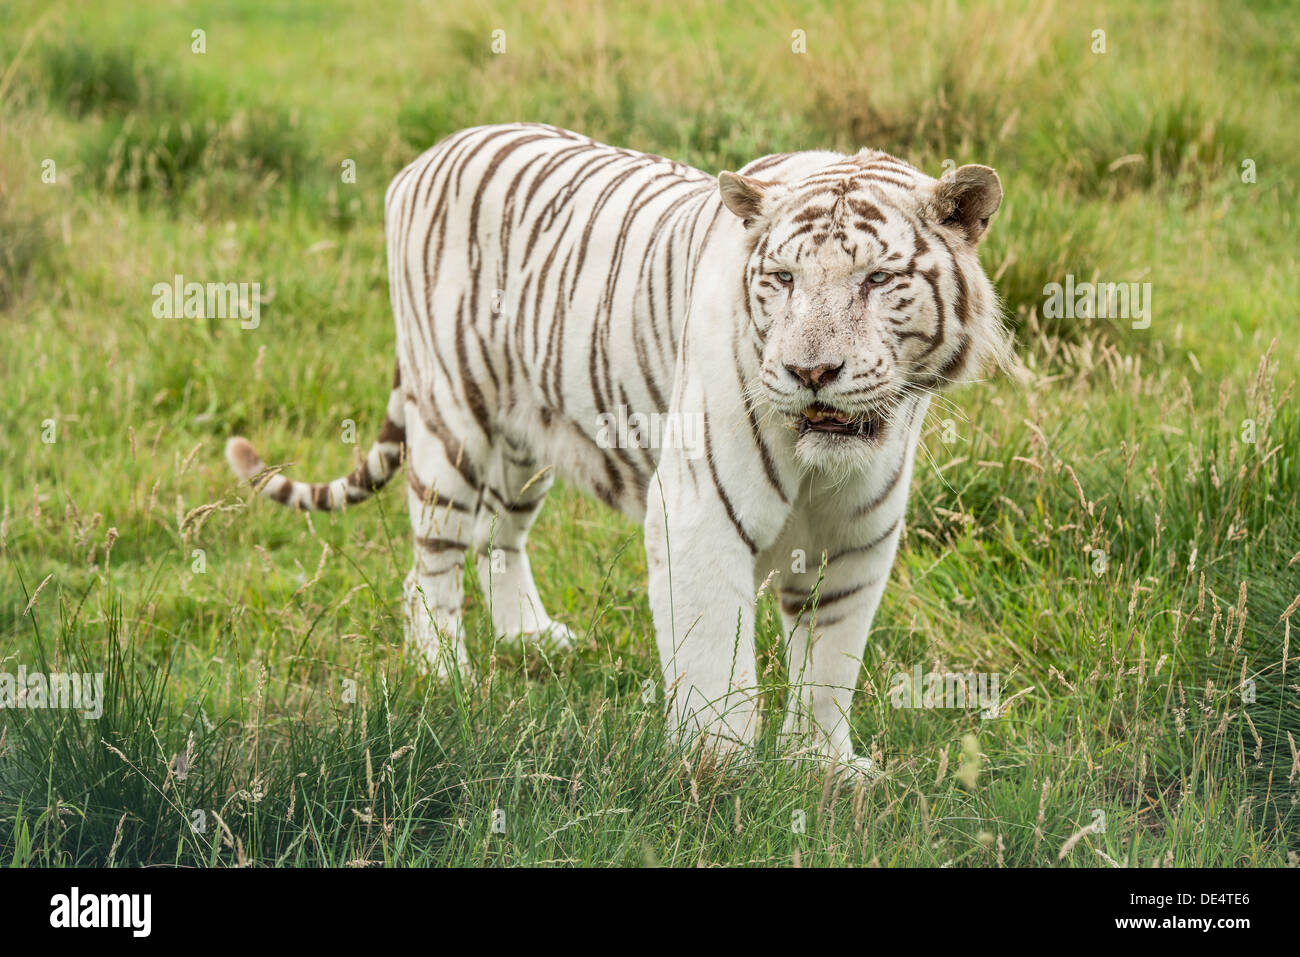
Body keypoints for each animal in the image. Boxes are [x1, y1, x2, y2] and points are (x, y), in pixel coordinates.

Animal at [227, 122, 1009, 771]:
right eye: (783, 280)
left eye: (877, 280)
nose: (810, 372)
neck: (825, 463)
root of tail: (433, 152)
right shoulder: (699, 511)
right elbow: (715, 662)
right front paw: (717, 775)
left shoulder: (858, 537)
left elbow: (829, 664)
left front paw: (826, 768)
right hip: (452, 421)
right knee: (432, 562)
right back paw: (447, 672)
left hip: (528, 441)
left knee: (499, 539)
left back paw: (530, 637)